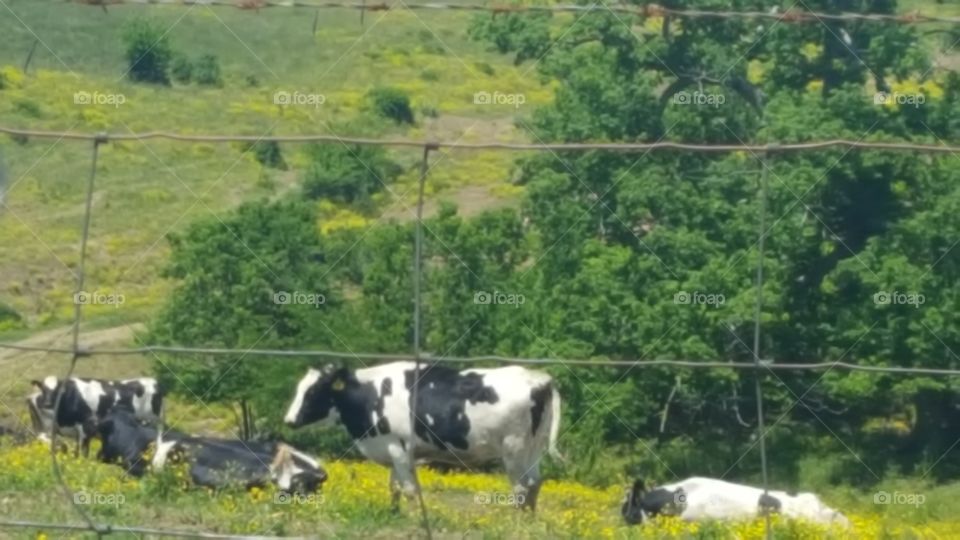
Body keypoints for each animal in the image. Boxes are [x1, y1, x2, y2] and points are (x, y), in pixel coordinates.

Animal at [28, 375, 165, 457]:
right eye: (43, 389)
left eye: (57, 390)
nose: (47, 403)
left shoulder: (84, 426)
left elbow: (82, 453)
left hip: (153, 423)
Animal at [283, 362, 562, 511]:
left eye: (313, 391)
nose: (289, 420)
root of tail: (538, 378)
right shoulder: (392, 450)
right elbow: (394, 486)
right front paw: (394, 513)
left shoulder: (399, 449)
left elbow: (409, 489)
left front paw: (414, 516)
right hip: (533, 447)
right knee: (534, 483)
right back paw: (529, 520)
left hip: (514, 448)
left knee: (521, 487)